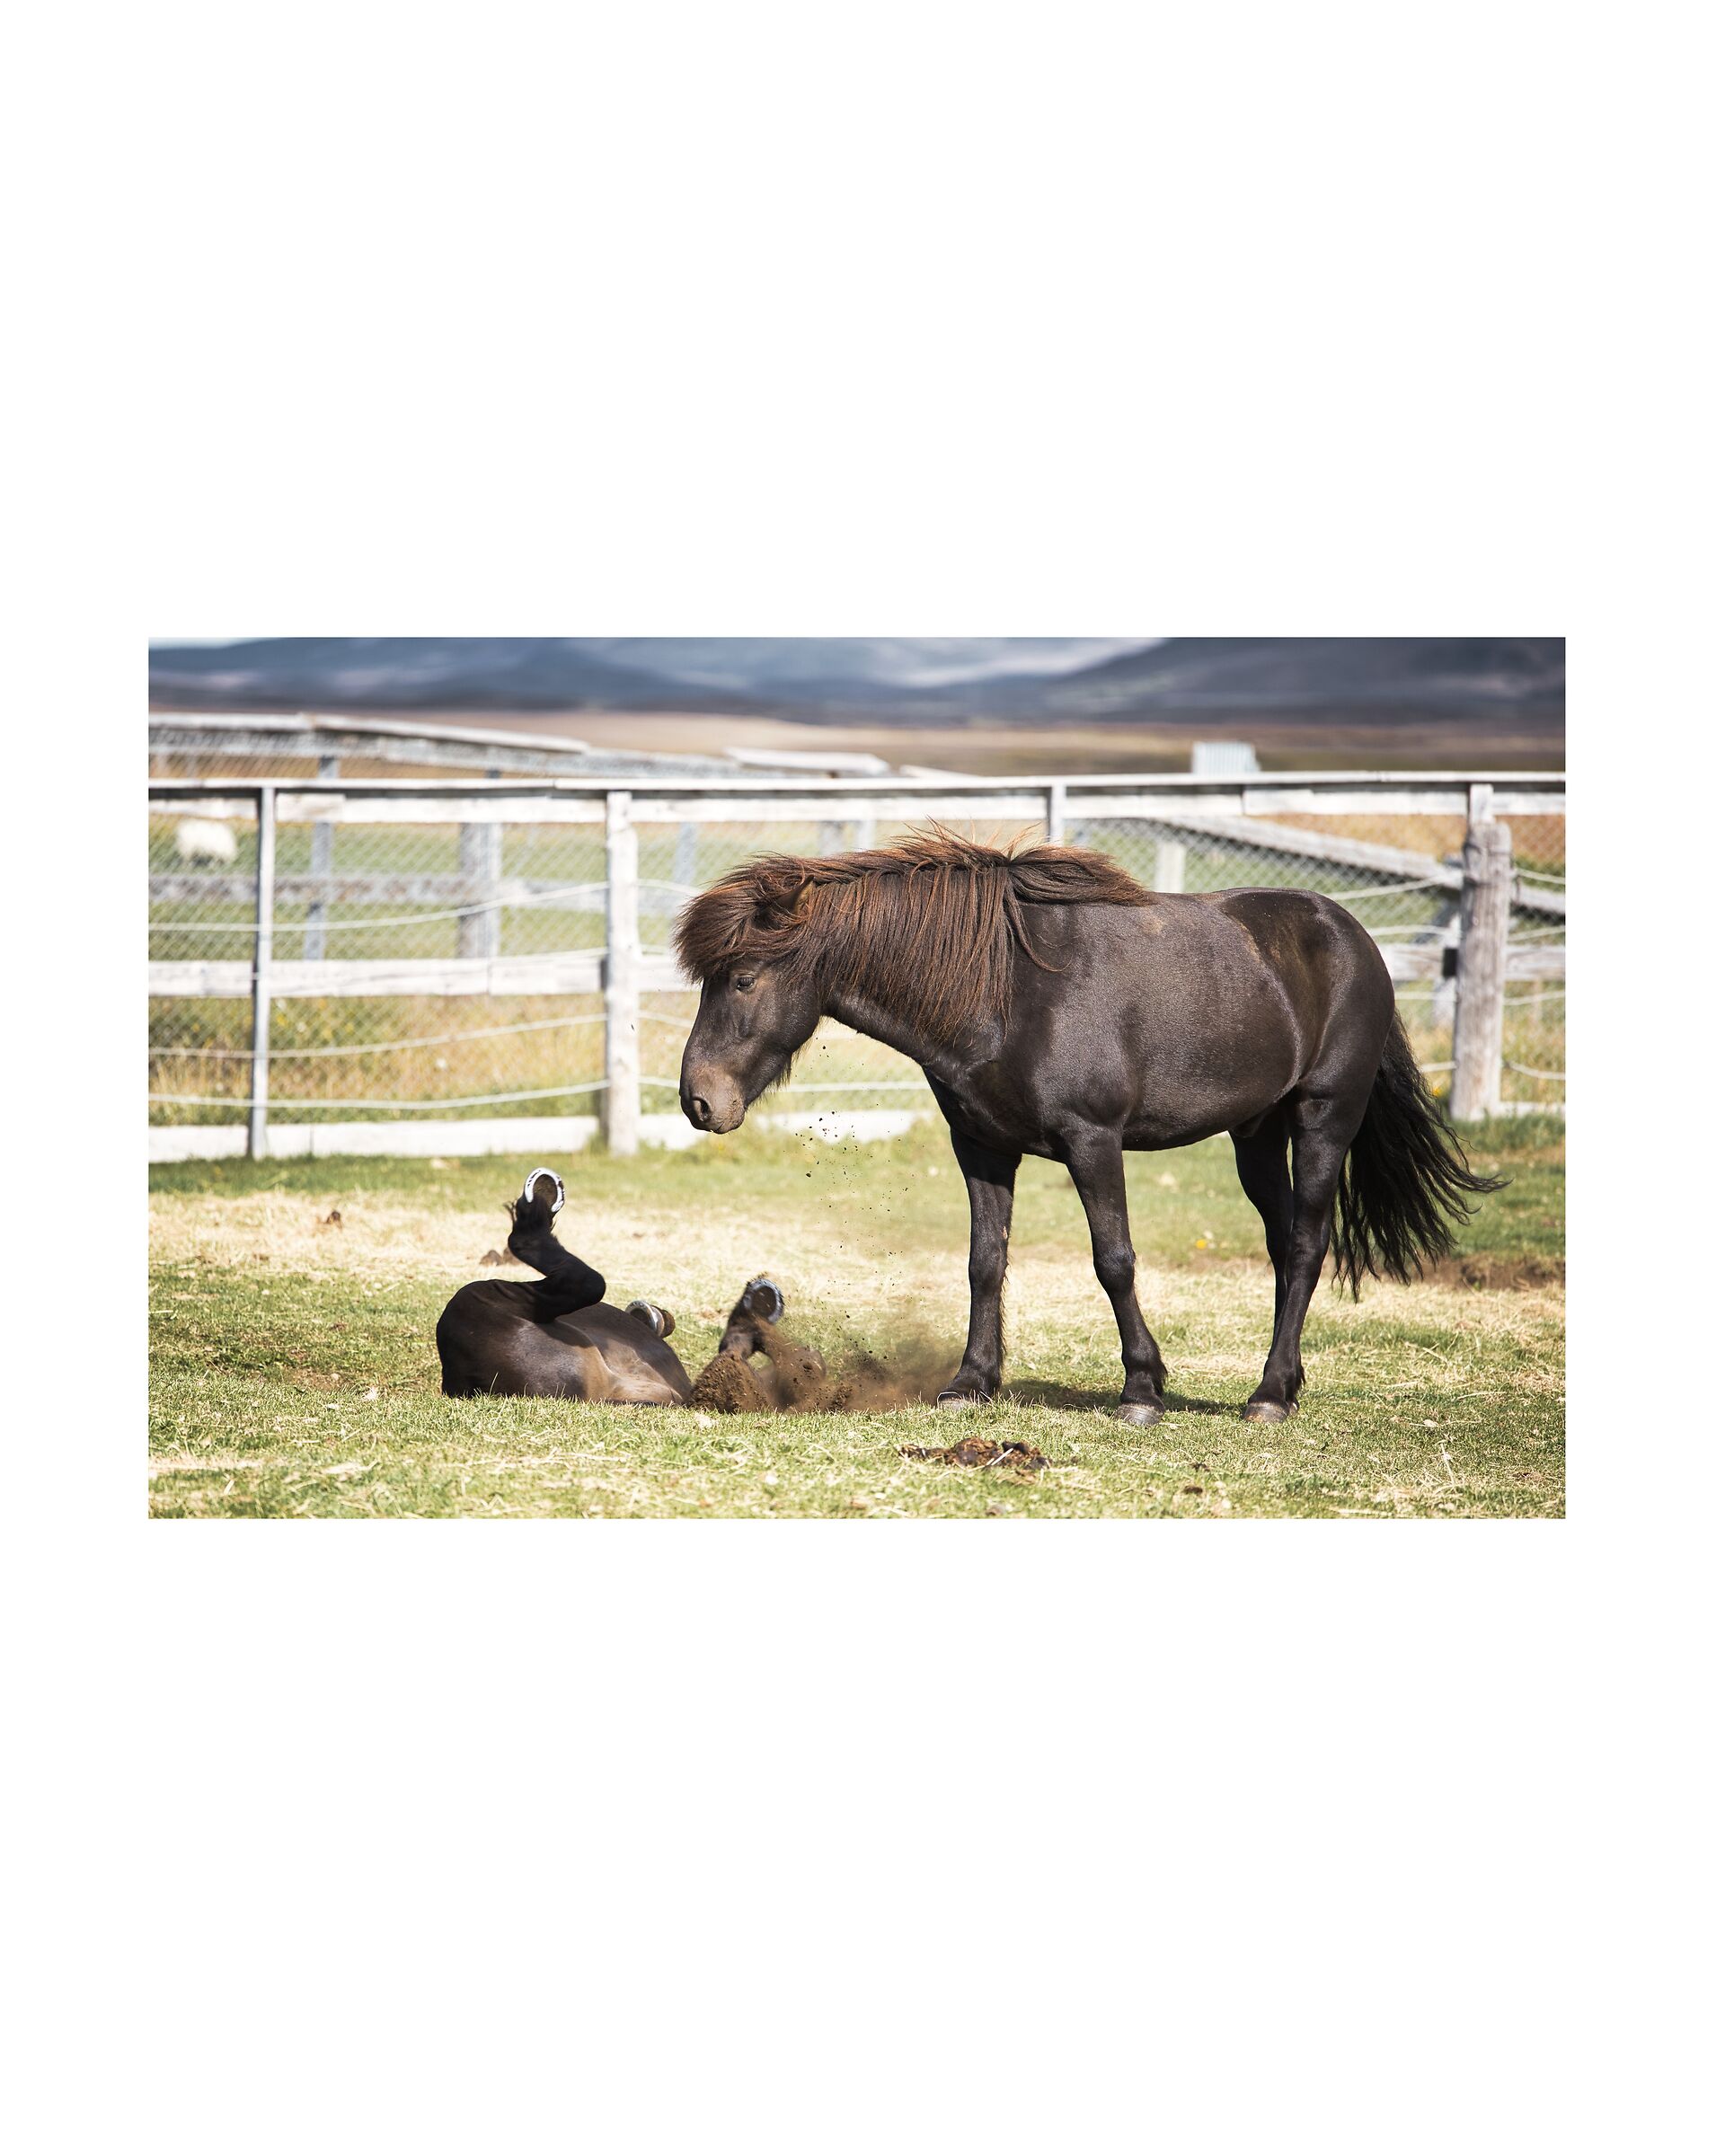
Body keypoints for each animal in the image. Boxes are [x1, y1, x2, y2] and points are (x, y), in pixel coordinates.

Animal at [674, 831, 1503, 1426]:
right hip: (1255, 1135)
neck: (1006, 990)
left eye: (743, 979)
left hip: (1323, 1118)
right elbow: (984, 1263)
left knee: (1305, 1244)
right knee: (1282, 1244)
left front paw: (1142, 1389)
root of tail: (1354, 938)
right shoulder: (981, 1148)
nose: (699, 1102)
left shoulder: (1093, 1142)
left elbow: (1115, 1262)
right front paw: (971, 1382)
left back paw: (1267, 1397)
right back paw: (1285, 1384)